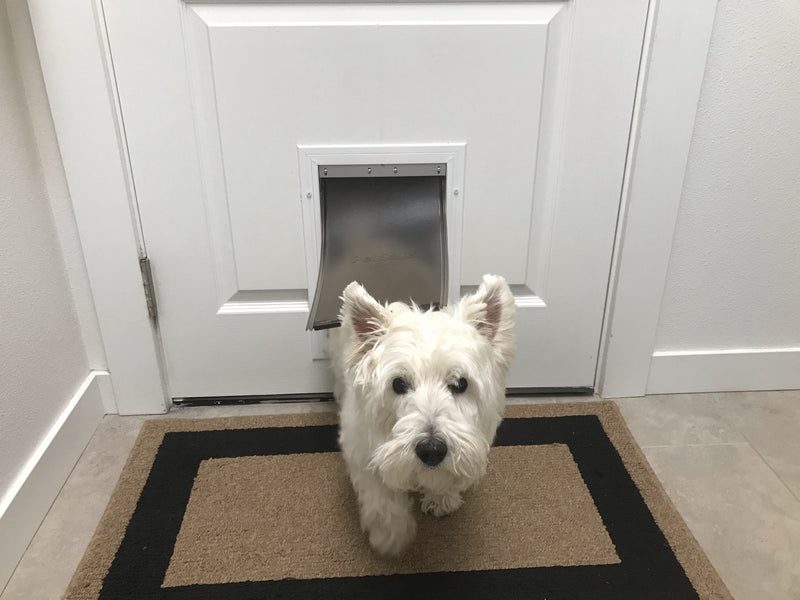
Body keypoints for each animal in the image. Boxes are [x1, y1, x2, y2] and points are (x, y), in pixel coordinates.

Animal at [330, 274, 512, 556]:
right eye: (398, 384)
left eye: (460, 383)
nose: (432, 450)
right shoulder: (360, 448)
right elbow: (381, 496)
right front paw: (390, 535)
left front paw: (442, 498)